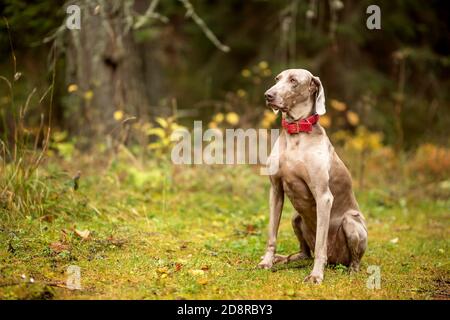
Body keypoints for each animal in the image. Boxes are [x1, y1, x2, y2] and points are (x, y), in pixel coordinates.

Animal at [258, 69, 368, 284]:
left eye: (293, 80)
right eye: (277, 79)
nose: (268, 95)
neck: (296, 134)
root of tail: (335, 261)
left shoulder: (324, 197)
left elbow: (320, 245)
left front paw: (316, 275)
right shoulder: (275, 191)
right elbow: (272, 234)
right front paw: (266, 261)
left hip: (351, 223)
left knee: (351, 259)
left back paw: (351, 271)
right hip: (296, 217)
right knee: (305, 253)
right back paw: (284, 258)